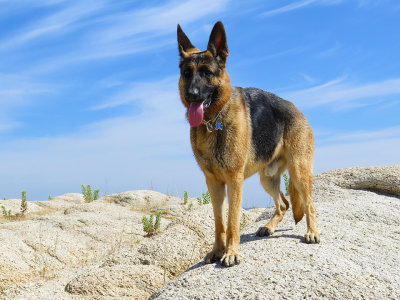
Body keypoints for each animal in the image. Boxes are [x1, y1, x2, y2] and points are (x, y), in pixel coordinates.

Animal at [177, 21, 320, 268]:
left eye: (206, 73)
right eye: (187, 73)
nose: (192, 95)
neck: (214, 121)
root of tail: (298, 110)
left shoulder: (234, 180)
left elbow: (232, 220)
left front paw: (231, 253)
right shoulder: (213, 182)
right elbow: (219, 222)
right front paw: (217, 250)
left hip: (299, 171)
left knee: (309, 204)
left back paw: (312, 232)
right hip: (268, 177)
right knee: (284, 204)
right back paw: (268, 227)